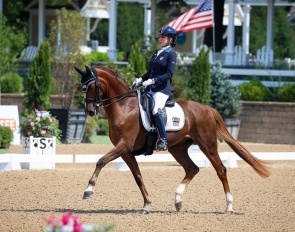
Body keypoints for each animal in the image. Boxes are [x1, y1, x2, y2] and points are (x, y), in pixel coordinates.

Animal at [74, 65, 270, 214]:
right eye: (82, 87)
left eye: (91, 87)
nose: (90, 111)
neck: (124, 107)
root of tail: (207, 108)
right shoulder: (126, 152)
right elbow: (138, 177)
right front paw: (146, 205)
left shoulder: (124, 146)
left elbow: (101, 160)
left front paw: (88, 190)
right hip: (178, 148)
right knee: (192, 169)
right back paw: (178, 200)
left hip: (207, 144)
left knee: (220, 170)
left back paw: (229, 206)